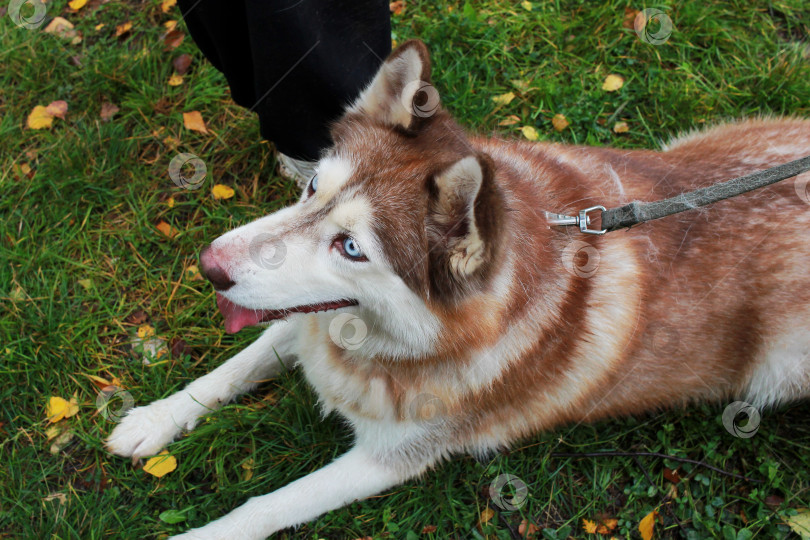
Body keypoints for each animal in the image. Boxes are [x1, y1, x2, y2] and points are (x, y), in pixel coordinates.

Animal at [109, 40, 808, 536]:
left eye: (352, 247)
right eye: (312, 187)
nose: (211, 265)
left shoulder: (390, 457)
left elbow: (264, 506)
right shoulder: (309, 320)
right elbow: (235, 365)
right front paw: (152, 419)